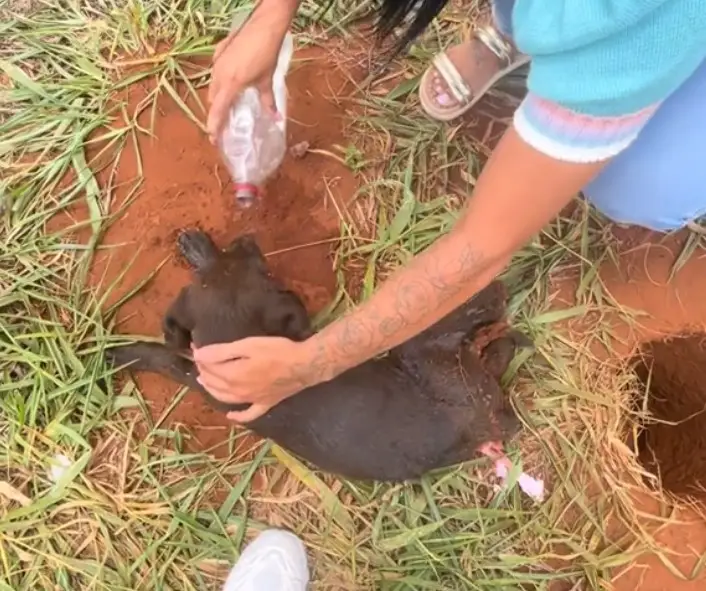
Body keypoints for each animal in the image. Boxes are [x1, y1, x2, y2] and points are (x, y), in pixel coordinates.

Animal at [108, 229, 528, 484]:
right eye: (265, 272)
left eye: (250, 260)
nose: (247, 237)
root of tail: (484, 426)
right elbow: (163, 355)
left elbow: (165, 351)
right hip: (430, 357)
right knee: (475, 339)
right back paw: (491, 301)